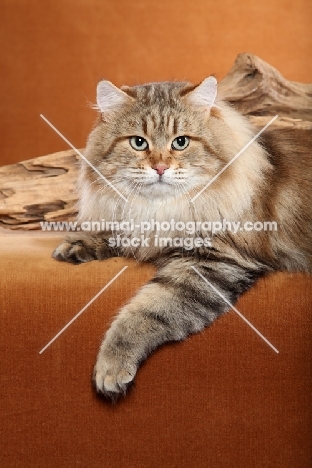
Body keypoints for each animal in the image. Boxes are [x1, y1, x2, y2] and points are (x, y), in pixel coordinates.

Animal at [53, 76, 312, 398]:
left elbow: (145, 312)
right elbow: (115, 234)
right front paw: (78, 244)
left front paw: (111, 367)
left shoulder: (211, 263)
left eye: (181, 142)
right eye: (139, 142)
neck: (160, 210)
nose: (160, 167)